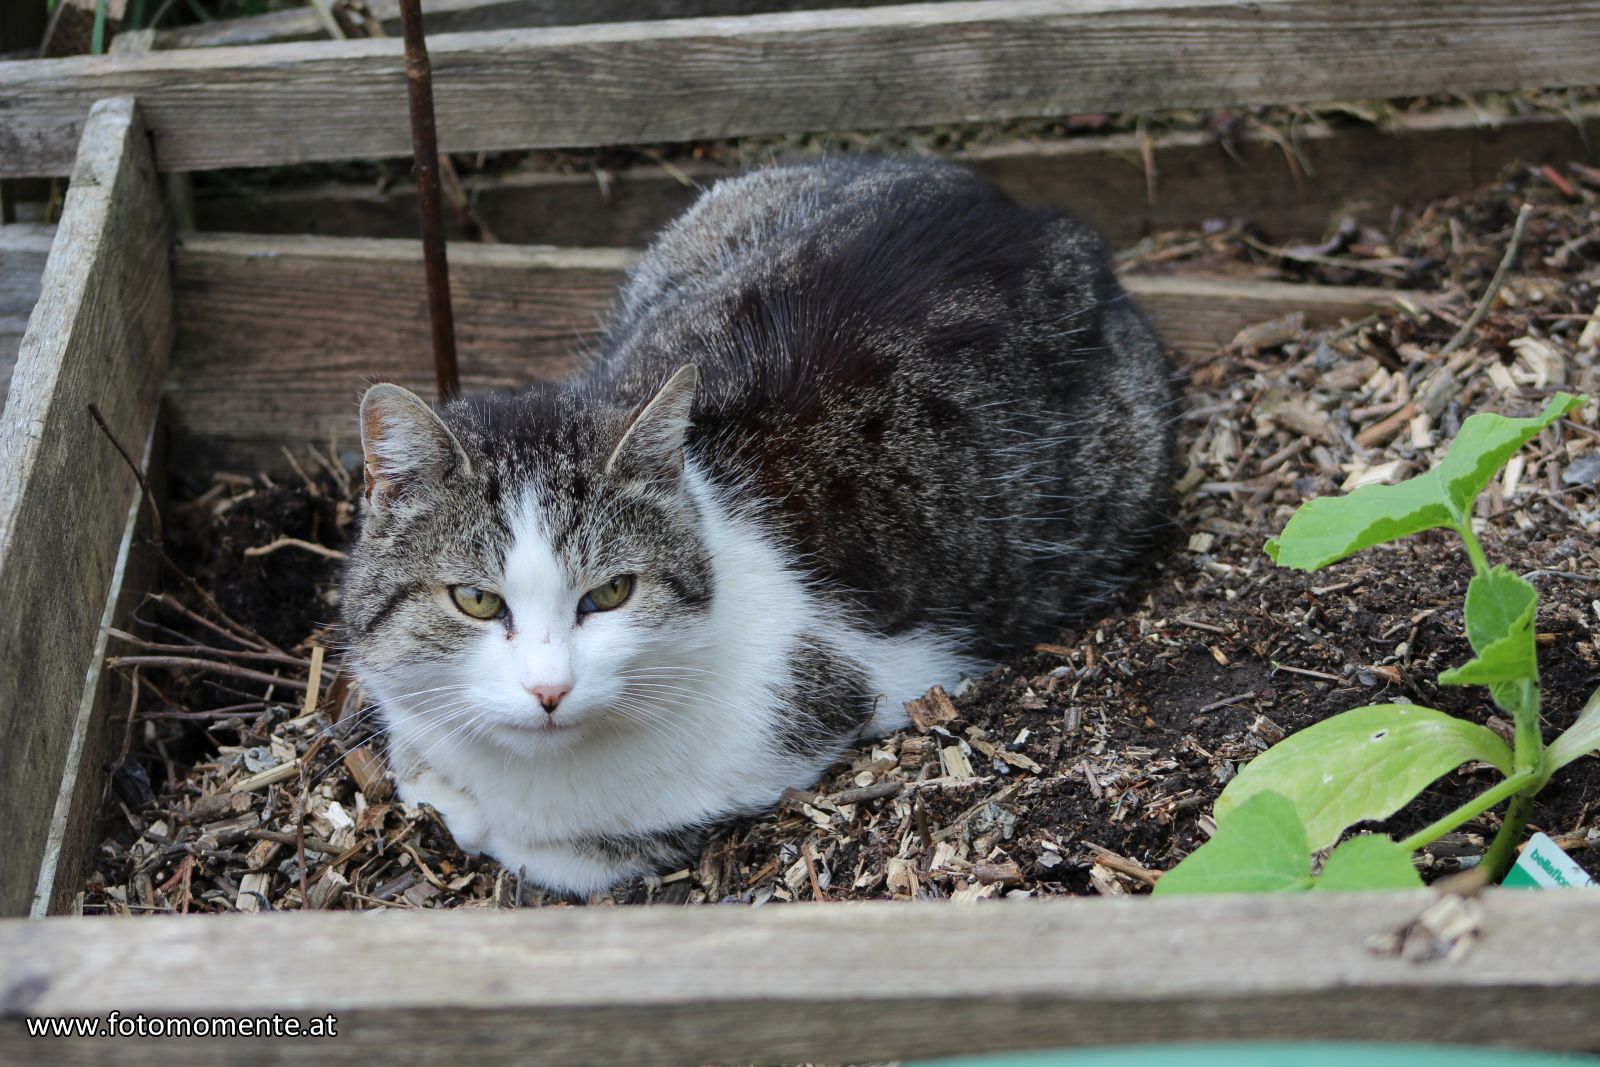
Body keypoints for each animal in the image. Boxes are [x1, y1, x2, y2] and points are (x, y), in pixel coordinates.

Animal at [344, 154, 1177, 895]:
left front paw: (476, 813)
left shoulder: (838, 698)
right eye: (476, 600)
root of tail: (1046, 220)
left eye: (610, 593)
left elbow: (559, 849)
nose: (550, 690)